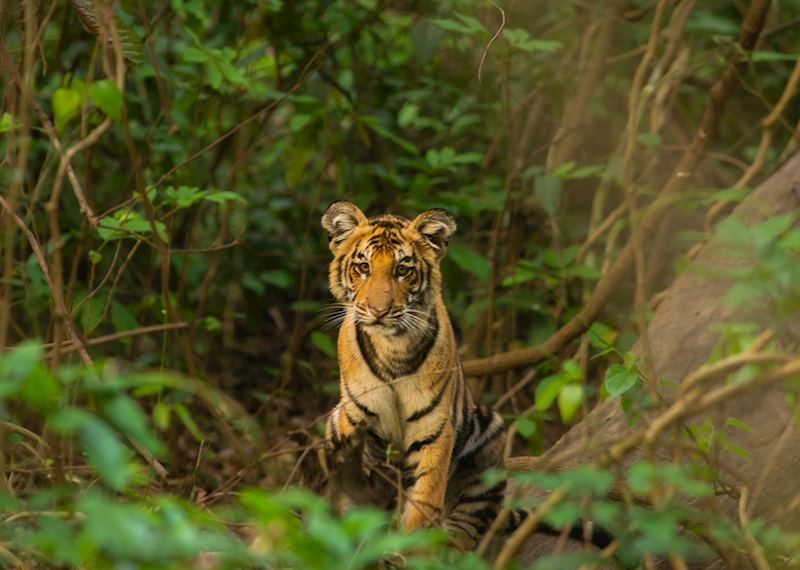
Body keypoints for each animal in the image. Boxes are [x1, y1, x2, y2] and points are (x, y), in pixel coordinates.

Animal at [320, 201, 507, 550]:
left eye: (403, 269)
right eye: (362, 267)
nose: (378, 311)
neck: (392, 346)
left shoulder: (433, 431)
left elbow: (423, 505)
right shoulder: (354, 422)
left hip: (490, 432)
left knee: (470, 519)